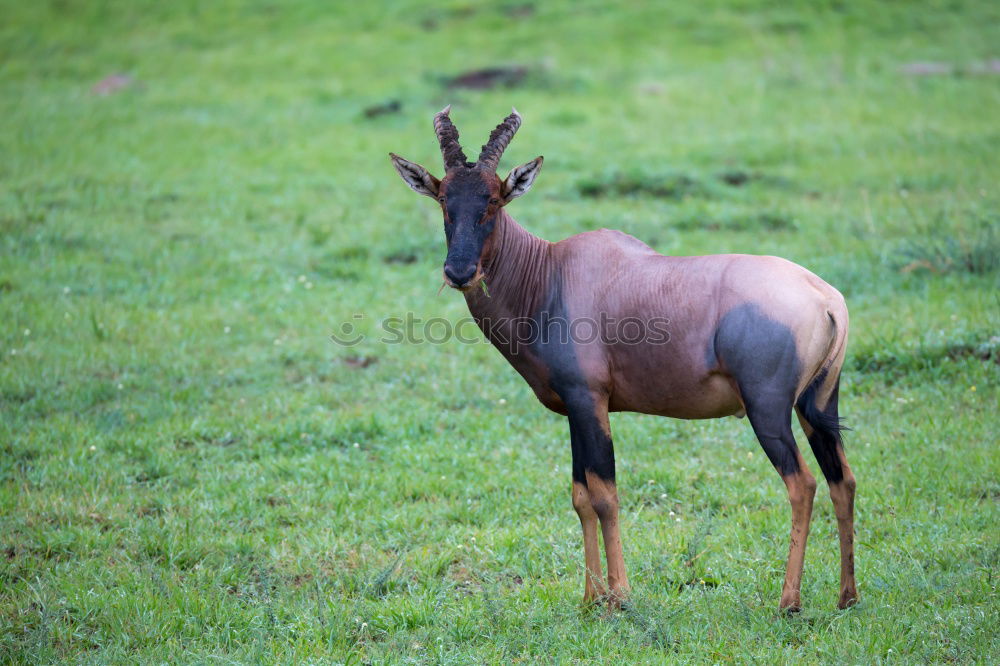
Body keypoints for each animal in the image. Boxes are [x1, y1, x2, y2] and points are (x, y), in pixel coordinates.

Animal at [390, 106, 860, 608]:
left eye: (494, 201)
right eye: (444, 199)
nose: (459, 272)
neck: (551, 273)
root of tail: (825, 297)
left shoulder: (589, 400)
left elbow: (605, 495)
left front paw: (619, 596)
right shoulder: (576, 409)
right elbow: (580, 496)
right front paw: (589, 599)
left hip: (767, 409)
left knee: (802, 485)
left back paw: (788, 602)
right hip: (817, 404)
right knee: (842, 480)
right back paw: (846, 596)